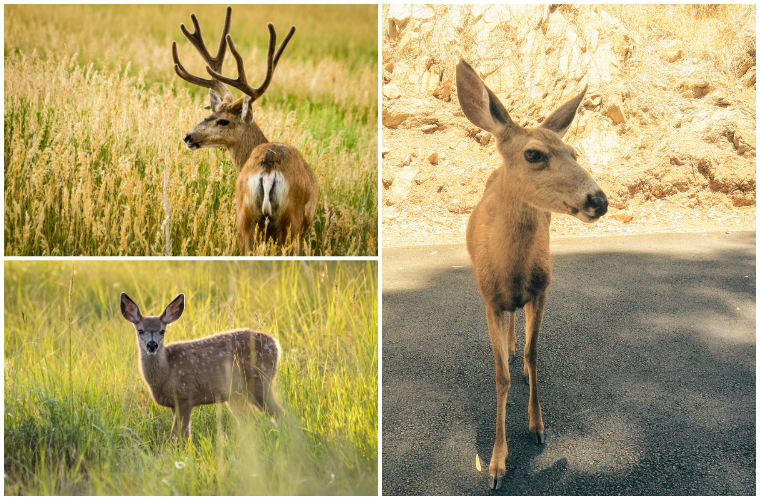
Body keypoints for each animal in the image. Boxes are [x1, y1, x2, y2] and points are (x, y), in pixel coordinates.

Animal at [119, 292, 283, 443]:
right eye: (140, 330)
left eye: (162, 331)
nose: (152, 345)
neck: (166, 373)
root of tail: (275, 344)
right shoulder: (174, 403)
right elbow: (184, 437)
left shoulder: (185, 396)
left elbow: (176, 436)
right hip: (235, 394)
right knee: (250, 422)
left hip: (260, 381)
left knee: (279, 414)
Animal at [456, 59, 608, 490]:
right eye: (534, 154)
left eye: (573, 152)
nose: (598, 200)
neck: (511, 270)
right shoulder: (489, 299)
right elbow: (500, 376)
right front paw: (496, 464)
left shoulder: (542, 289)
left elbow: (533, 354)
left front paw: (538, 426)